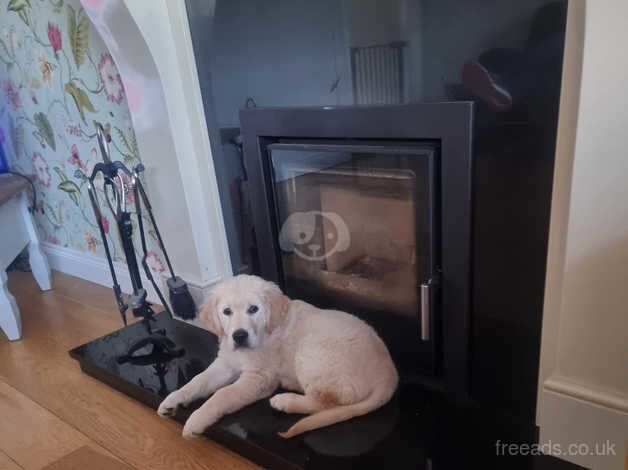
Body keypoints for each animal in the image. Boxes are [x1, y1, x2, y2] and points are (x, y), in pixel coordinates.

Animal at [159, 274, 400, 438]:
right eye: (227, 312)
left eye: (253, 309)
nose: (239, 335)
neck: (266, 332)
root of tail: (389, 372)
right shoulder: (226, 363)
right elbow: (198, 380)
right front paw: (173, 399)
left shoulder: (259, 378)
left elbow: (222, 395)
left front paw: (195, 421)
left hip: (311, 351)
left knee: (328, 401)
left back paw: (285, 401)